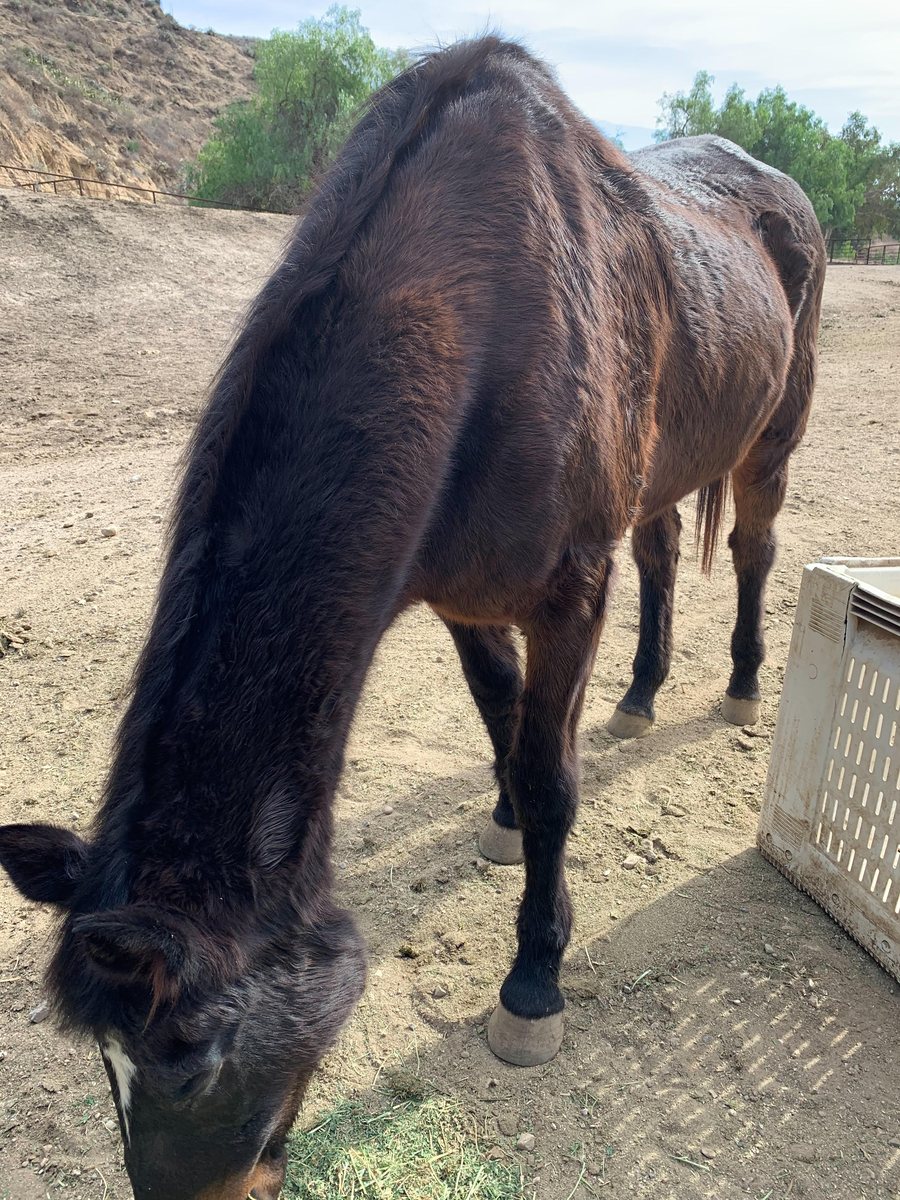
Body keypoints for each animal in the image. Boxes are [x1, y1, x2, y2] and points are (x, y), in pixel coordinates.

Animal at [0, 35, 825, 1200]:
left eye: (195, 1059)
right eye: (102, 1066)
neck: (484, 320)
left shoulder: (569, 593)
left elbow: (550, 771)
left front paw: (534, 979)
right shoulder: (455, 595)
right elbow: (500, 713)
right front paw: (504, 822)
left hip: (771, 437)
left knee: (752, 551)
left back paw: (745, 684)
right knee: (664, 553)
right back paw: (641, 695)